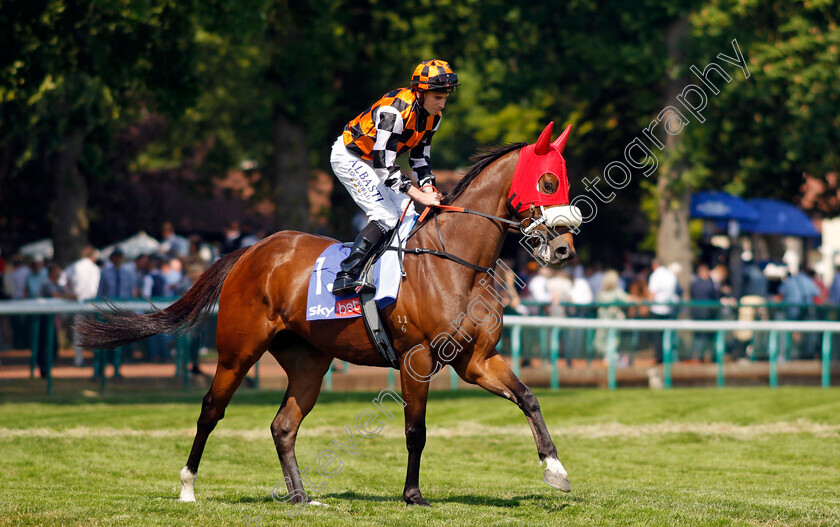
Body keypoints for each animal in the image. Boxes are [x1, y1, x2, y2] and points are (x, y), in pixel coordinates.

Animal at [77, 121, 576, 510]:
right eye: (549, 182)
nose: (565, 249)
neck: (455, 263)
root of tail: (251, 251)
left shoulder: (476, 361)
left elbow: (528, 397)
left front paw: (555, 469)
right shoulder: (415, 357)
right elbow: (415, 429)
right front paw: (413, 495)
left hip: (308, 361)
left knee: (283, 426)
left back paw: (300, 495)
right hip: (237, 351)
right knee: (210, 410)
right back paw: (187, 487)